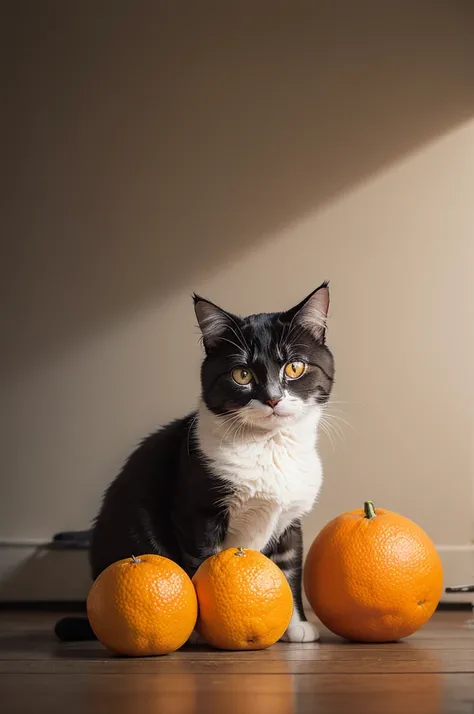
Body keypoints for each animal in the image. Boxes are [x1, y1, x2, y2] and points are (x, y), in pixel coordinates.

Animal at [54, 280, 334, 644]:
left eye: (295, 367)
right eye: (242, 374)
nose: (272, 399)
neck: (267, 447)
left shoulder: (290, 520)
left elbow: (289, 567)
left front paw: (297, 625)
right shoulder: (196, 512)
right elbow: (203, 564)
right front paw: (206, 631)